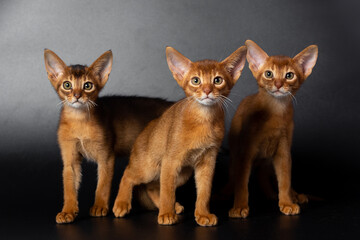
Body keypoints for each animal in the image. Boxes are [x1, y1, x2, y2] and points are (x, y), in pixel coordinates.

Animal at [43, 48, 173, 223]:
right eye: (67, 85)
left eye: (87, 85)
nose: (77, 95)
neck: (79, 121)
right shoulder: (70, 159)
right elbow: (69, 188)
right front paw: (68, 211)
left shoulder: (106, 157)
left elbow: (102, 185)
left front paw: (99, 206)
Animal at [112, 45, 248, 227]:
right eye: (195, 80)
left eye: (217, 80)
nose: (207, 91)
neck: (204, 120)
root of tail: (142, 133)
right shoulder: (171, 161)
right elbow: (167, 192)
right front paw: (166, 214)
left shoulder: (207, 162)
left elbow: (204, 192)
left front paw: (202, 214)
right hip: (149, 167)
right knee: (128, 175)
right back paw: (122, 204)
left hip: (183, 174)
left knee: (152, 186)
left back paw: (171, 206)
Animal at [228, 39, 318, 218]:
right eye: (269, 74)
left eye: (289, 75)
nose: (278, 84)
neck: (275, 112)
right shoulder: (245, 153)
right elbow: (242, 183)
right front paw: (240, 206)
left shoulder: (284, 151)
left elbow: (285, 180)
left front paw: (286, 202)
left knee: (266, 175)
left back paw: (293, 195)